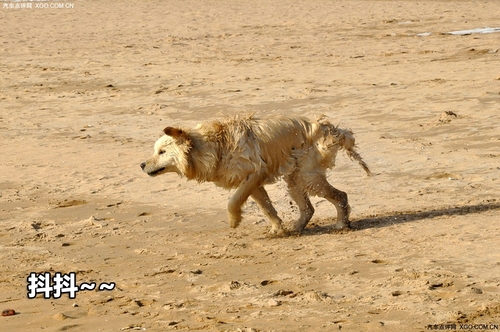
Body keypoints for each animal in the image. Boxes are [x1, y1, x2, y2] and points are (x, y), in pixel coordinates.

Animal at [141, 115, 372, 235]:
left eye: (162, 152)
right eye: (156, 150)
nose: (142, 164)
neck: (215, 145)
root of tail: (329, 128)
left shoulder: (255, 174)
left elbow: (232, 201)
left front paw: (234, 220)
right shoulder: (253, 182)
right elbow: (267, 208)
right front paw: (278, 229)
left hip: (308, 177)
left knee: (341, 196)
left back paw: (341, 224)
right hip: (295, 178)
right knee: (308, 208)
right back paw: (295, 228)